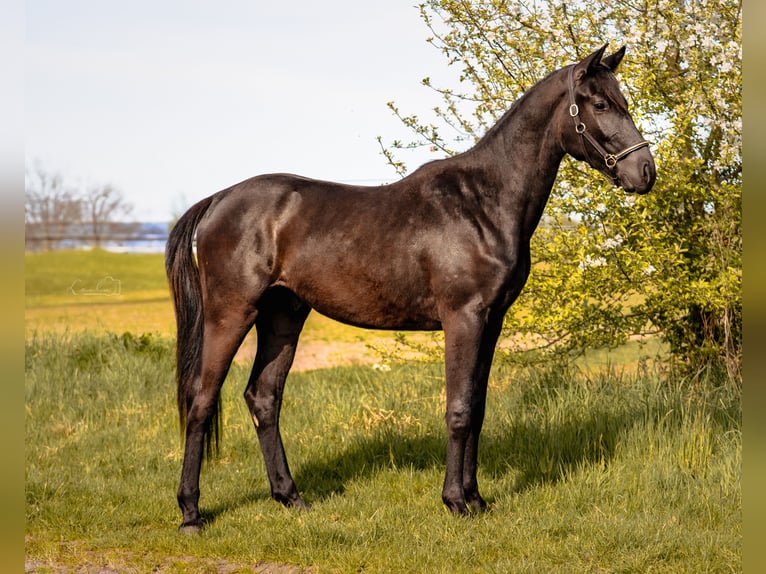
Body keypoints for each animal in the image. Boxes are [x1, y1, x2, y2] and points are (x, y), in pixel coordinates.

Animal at [166, 44, 656, 533]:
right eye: (600, 104)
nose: (645, 171)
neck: (483, 202)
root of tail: (219, 199)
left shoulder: (492, 322)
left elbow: (477, 408)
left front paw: (477, 499)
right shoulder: (463, 319)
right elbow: (458, 409)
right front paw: (455, 501)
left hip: (283, 316)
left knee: (264, 398)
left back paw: (291, 497)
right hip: (231, 314)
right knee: (202, 400)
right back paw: (191, 512)